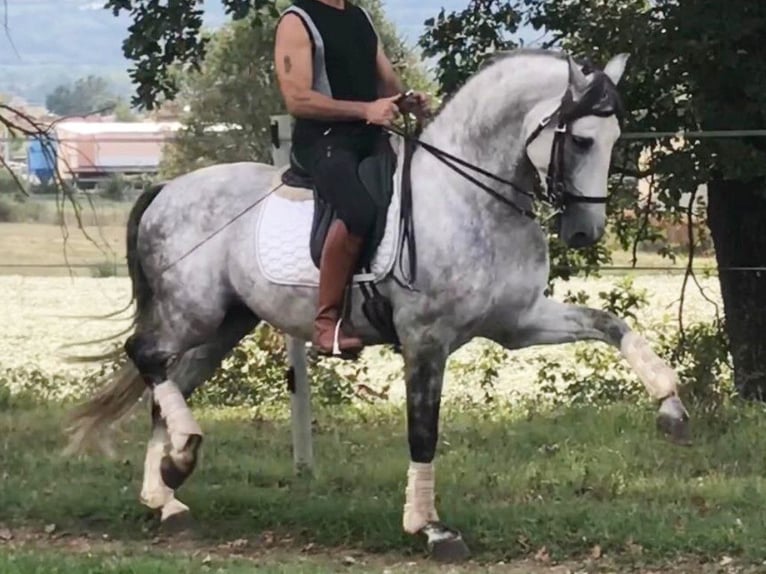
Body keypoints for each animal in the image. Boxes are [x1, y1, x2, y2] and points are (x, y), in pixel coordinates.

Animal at [64, 48, 688, 564]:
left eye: (615, 136)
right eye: (581, 140)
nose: (585, 232)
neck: (473, 198)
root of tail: (167, 189)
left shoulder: (518, 323)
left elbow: (610, 325)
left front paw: (671, 408)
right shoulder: (426, 340)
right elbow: (423, 431)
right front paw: (430, 528)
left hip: (222, 326)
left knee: (164, 386)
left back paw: (167, 494)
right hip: (190, 312)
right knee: (146, 355)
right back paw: (181, 458)